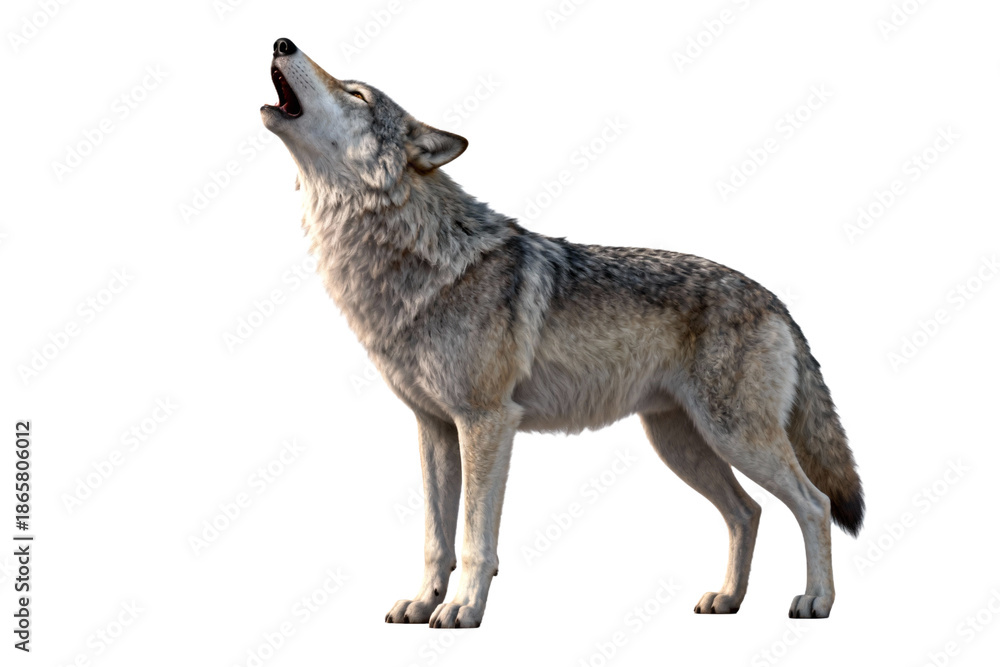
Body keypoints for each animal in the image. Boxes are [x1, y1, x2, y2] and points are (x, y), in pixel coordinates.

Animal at [261, 38, 864, 627]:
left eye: (357, 94)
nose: (282, 42)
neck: (412, 262)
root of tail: (774, 299)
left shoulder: (487, 422)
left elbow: (475, 538)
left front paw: (463, 609)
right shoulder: (433, 428)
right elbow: (436, 539)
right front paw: (423, 602)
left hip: (734, 438)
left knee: (814, 504)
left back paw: (817, 601)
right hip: (681, 444)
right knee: (747, 512)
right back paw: (728, 599)